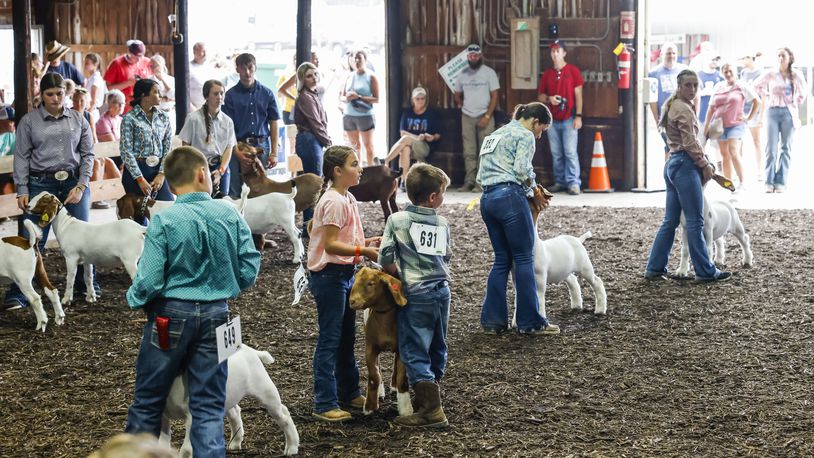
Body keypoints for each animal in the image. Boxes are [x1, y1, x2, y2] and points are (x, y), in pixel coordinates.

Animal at [159, 346, 300, 456]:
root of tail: (250, 350)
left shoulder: (193, 417)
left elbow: (187, 449)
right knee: (235, 412)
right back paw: (235, 442)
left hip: (266, 391)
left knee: (284, 415)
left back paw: (292, 447)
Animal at [350, 266, 414, 416]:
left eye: (371, 283)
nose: (352, 301)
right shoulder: (371, 347)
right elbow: (374, 375)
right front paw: (370, 406)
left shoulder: (403, 346)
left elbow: (402, 378)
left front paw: (406, 409)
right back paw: (380, 392)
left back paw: (394, 385)